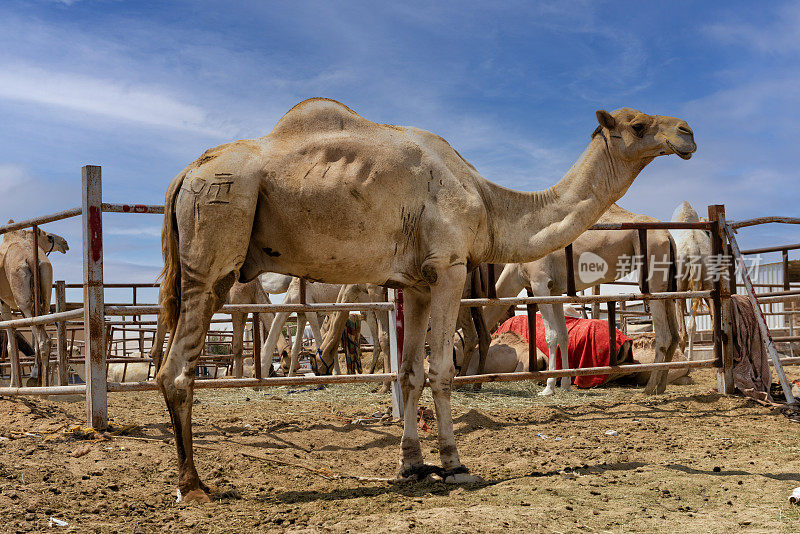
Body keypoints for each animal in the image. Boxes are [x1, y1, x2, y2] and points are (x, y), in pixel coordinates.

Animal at [0, 224, 69, 388]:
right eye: (49, 236)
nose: (65, 243)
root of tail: (31, 258)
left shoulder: (4, 302)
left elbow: (11, 346)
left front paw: (12, 384)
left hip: (24, 303)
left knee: (43, 339)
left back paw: (41, 383)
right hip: (45, 290)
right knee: (42, 335)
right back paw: (39, 379)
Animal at [155, 99, 692, 502]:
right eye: (638, 124)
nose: (686, 131)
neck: (487, 202)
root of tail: (184, 175)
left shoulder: (414, 283)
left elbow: (411, 372)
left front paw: (412, 465)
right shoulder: (449, 266)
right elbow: (442, 371)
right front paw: (454, 465)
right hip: (217, 237)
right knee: (175, 370)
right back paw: (193, 486)